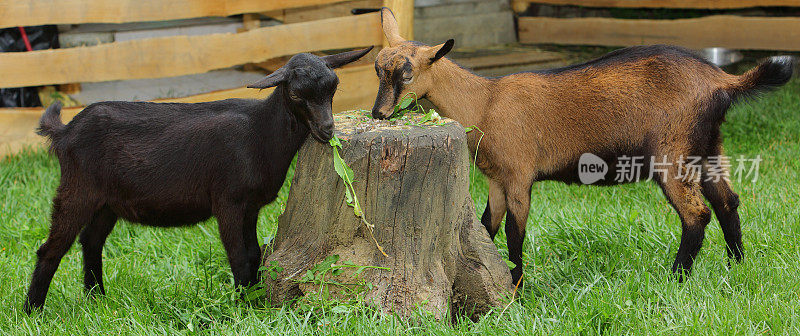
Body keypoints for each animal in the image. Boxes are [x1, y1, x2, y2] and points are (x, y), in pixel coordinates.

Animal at [23, 46, 374, 312]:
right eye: (298, 95)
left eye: (333, 89)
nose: (327, 130)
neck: (262, 131)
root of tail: (65, 131)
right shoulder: (228, 202)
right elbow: (239, 256)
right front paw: (243, 305)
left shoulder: (250, 207)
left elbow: (254, 252)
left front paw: (253, 296)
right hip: (77, 189)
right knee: (51, 249)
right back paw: (33, 311)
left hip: (108, 202)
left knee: (91, 241)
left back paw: (96, 298)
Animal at [374, 7, 792, 284]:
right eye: (378, 68)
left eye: (406, 73)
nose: (379, 113)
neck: (485, 101)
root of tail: (723, 81)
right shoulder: (495, 179)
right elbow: (485, 226)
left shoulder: (519, 175)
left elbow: (513, 232)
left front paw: (516, 290)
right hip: (706, 147)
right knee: (727, 201)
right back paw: (735, 267)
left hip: (671, 151)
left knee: (697, 214)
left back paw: (676, 278)